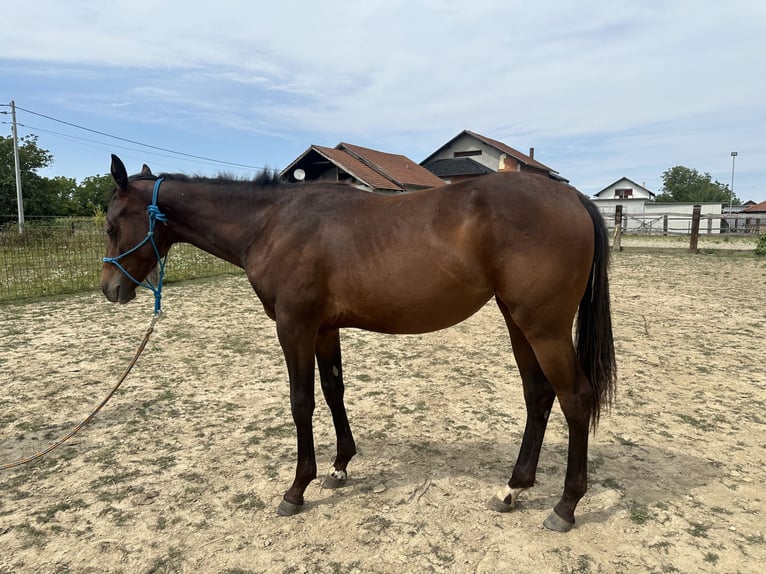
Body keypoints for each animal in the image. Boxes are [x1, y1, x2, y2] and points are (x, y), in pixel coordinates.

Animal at [101, 154, 616, 532]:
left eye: (111, 224)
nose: (111, 289)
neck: (271, 222)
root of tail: (573, 197)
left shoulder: (294, 326)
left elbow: (301, 402)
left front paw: (297, 489)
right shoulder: (324, 329)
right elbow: (333, 391)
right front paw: (340, 467)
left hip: (544, 327)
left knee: (575, 399)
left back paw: (565, 507)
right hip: (518, 322)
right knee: (539, 395)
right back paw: (513, 488)